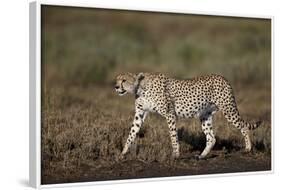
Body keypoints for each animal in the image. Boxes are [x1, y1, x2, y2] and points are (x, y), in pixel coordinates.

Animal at [114, 72, 260, 159]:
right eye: (117, 80)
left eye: (124, 80)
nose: (116, 87)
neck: (140, 88)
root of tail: (222, 77)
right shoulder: (140, 114)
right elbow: (132, 133)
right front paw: (123, 152)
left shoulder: (170, 114)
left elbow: (173, 136)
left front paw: (175, 154)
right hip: (205, 115)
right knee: (211, 137)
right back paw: (202, 156)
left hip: (228, 110)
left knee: (243, 127)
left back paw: (248, 148)